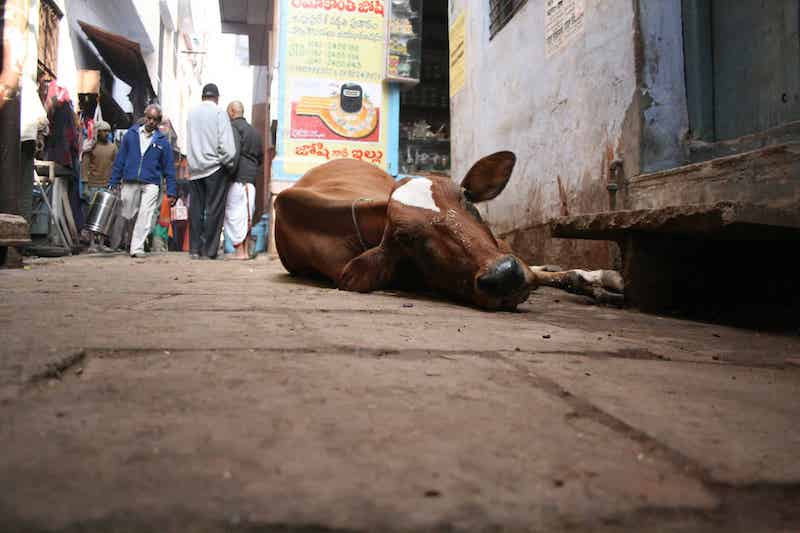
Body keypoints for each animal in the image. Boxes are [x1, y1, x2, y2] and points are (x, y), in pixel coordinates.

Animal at [276, 152, 624, 310]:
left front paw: (600, 279)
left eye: (466, 197)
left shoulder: (505, 251)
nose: (504, 275)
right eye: (407, 239)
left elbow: (541, 273)